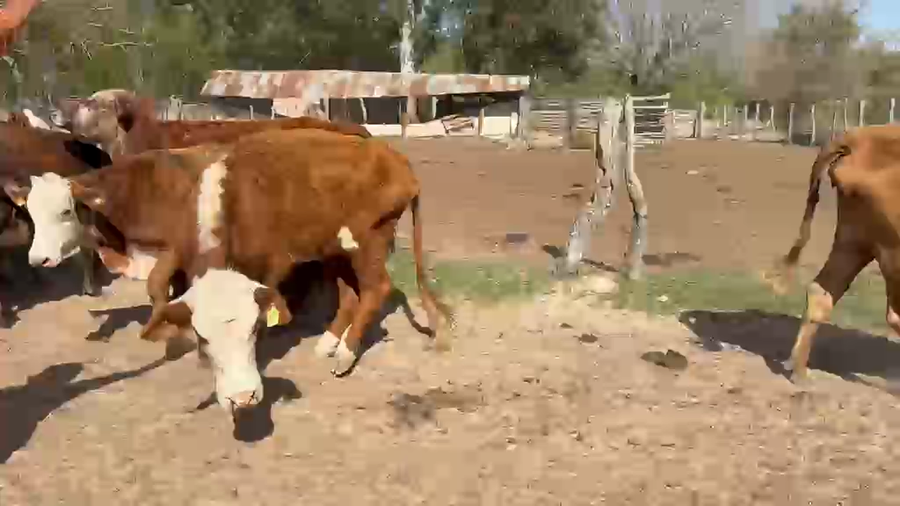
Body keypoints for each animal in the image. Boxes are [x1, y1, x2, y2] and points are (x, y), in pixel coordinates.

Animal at [23, 128, 450, 415]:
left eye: (65, 211)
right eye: (204, 337)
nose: (36, 260)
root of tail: (392, 156)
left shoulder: (263, 263)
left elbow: (161, 288)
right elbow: (164, 293)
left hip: (368, 241)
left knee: (376, 288)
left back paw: (345, 354)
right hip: (334, 247)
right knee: (350, 292)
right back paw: (329, 342)